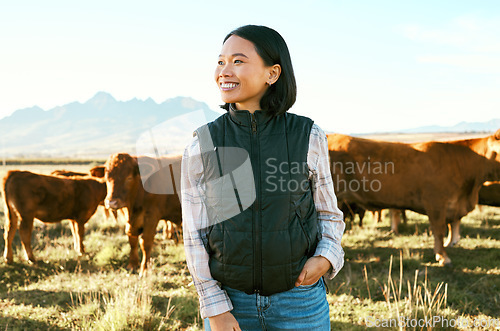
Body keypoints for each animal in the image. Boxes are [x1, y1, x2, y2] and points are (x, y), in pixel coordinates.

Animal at [328, 134, 500, 266]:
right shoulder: (436, 203)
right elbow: (439, 231)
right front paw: (443, 257)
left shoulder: (453, 205)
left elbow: (453, 225)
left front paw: (450, 244)